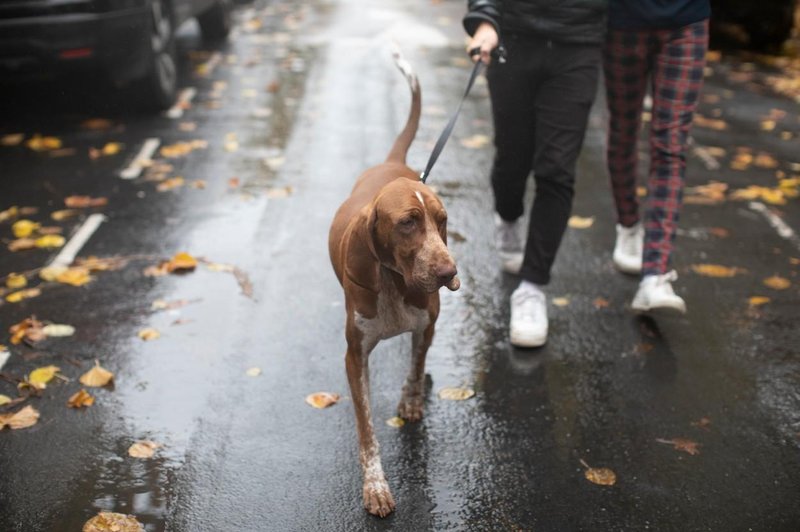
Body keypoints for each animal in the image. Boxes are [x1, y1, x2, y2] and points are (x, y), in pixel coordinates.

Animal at [328, 52, 460, 516]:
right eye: (407, 223)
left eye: (442, 222)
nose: (448, 274)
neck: (392, 282)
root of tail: (390, 162)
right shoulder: (354, 357)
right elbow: (367, 430)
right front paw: (376, 487)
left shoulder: (427, 324)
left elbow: (417, 367)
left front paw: (411, 399)